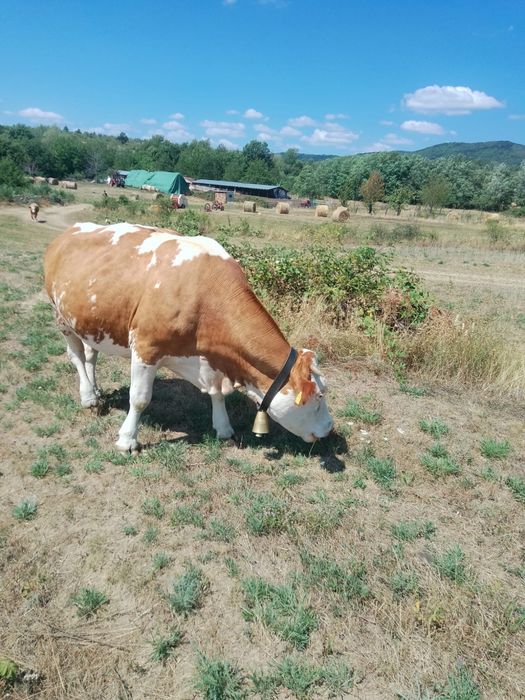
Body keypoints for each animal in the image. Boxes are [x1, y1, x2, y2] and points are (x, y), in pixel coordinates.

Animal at [44, 223, 333, 452]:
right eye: (319, 396)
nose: (330, 429)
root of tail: (70, 231)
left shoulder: (211, 357)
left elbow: (216, 393)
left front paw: (224, 428)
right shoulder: (146, 347)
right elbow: (139, 398)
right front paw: (127, 440)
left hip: (89, 322)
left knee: (91, 355)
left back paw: (95, 390)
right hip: (61, 317)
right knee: (77, 357)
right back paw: (88, 397)